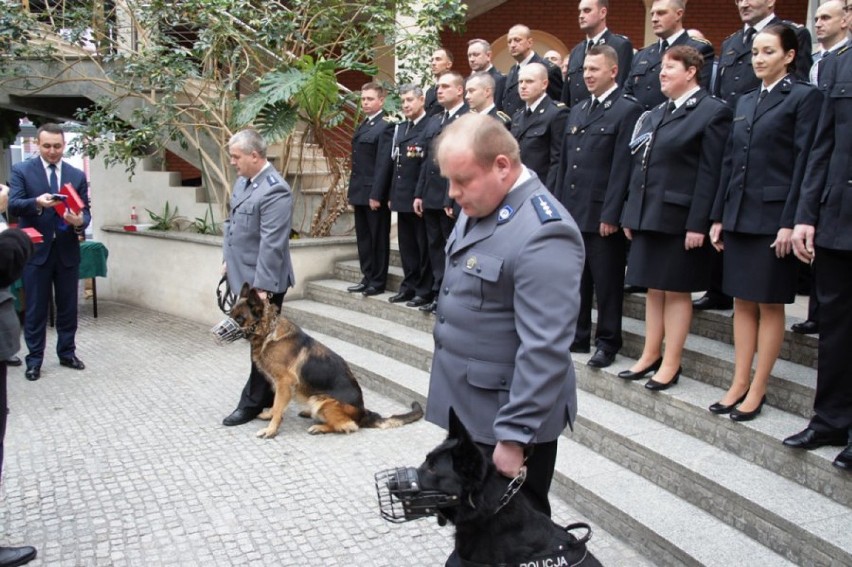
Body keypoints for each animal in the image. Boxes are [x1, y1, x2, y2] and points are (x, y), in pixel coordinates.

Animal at [230, 286, 422, 442]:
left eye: (239, 319)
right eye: (230, 315)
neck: (269, 331)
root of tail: (363, 412)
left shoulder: (284, 382)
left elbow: (278, 407)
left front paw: (271, 430)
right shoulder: (278, 384)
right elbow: (276, 404)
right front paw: (269, 416)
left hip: (320, 400)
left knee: (349, 425)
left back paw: (320, 427)